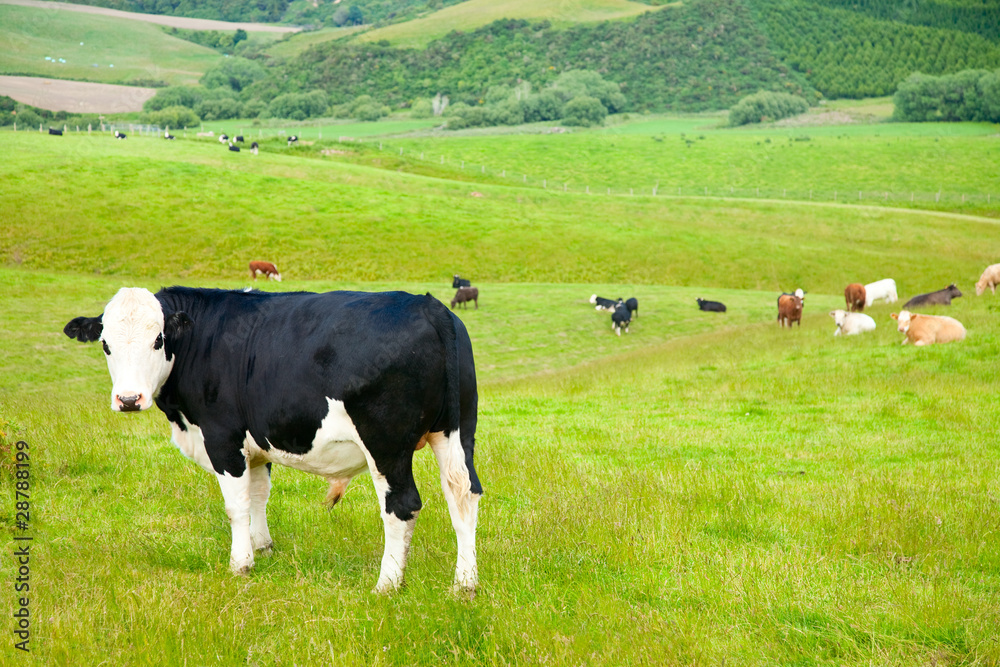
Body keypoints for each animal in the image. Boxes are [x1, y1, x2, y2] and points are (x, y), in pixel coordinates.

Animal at [63, 286, 482, 593]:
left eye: (158, 339)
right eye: (106, 345)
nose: (128, 399)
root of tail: (427, 305)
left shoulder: (222, 437)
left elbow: (237, 505)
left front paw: (240, 563)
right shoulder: (256, 446)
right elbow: (259, 493)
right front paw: (262, 547)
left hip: (386, 444)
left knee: (402, 505)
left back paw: (388, 584)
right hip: (456, 431)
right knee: (462, 494)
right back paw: (465, 584)